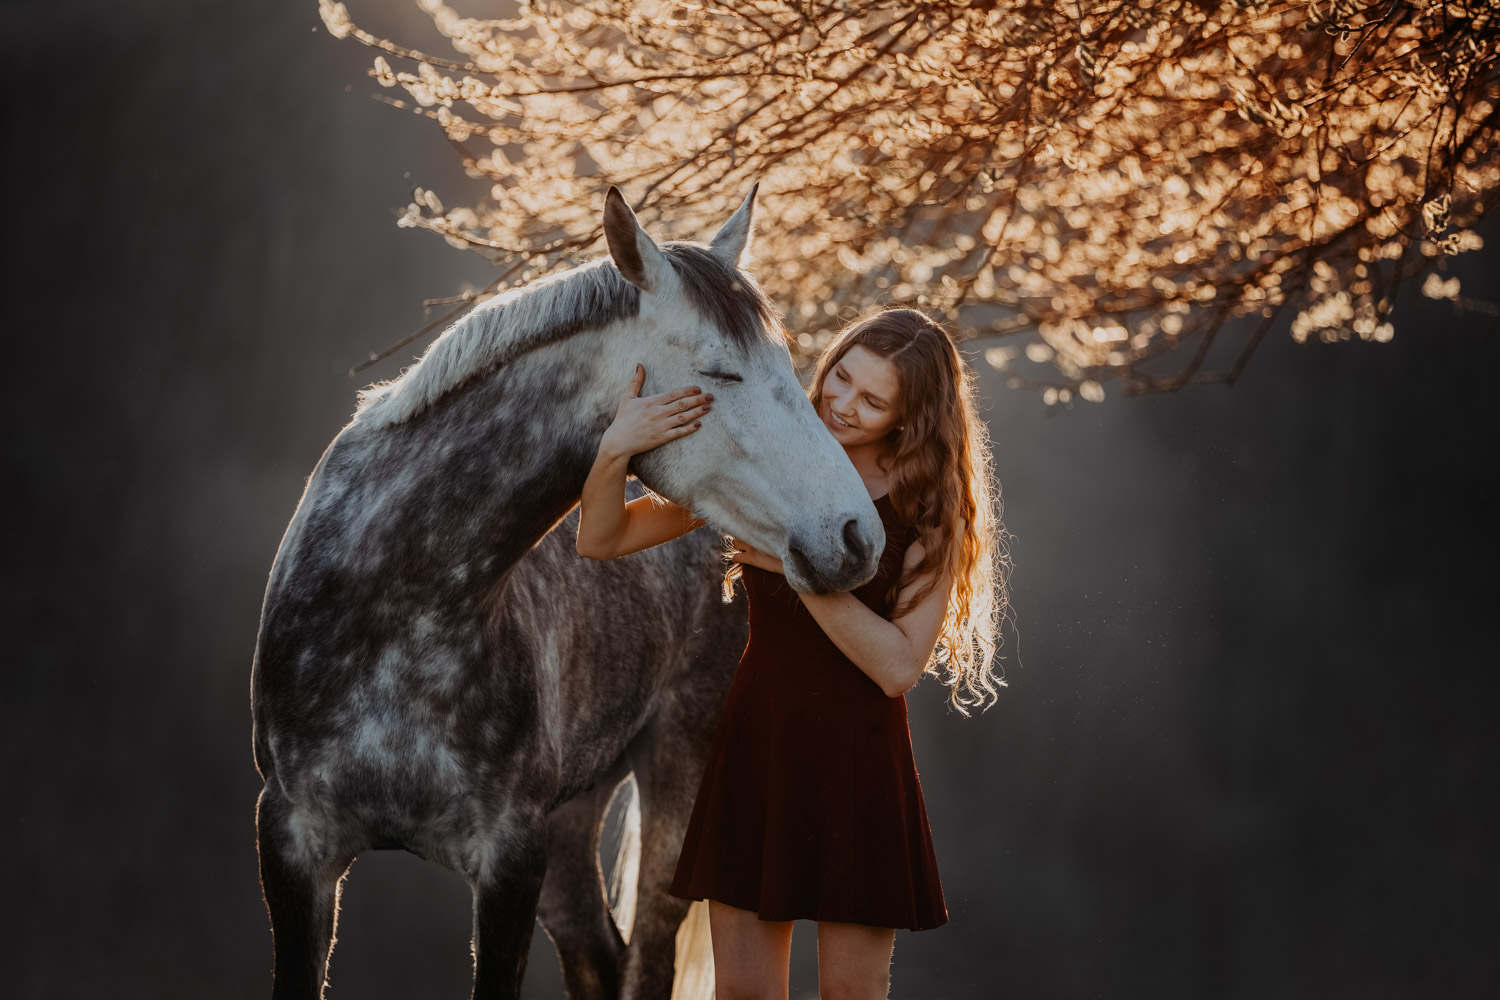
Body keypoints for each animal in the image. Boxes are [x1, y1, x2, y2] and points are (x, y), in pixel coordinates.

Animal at [250, 183, 882, 995]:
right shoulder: (295, 849)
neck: (393, 612)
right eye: (721, 372)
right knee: (599, 955)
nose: (857, 537)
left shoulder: (510, 862)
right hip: (571, 820)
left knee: (644, 955)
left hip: (672, 778)